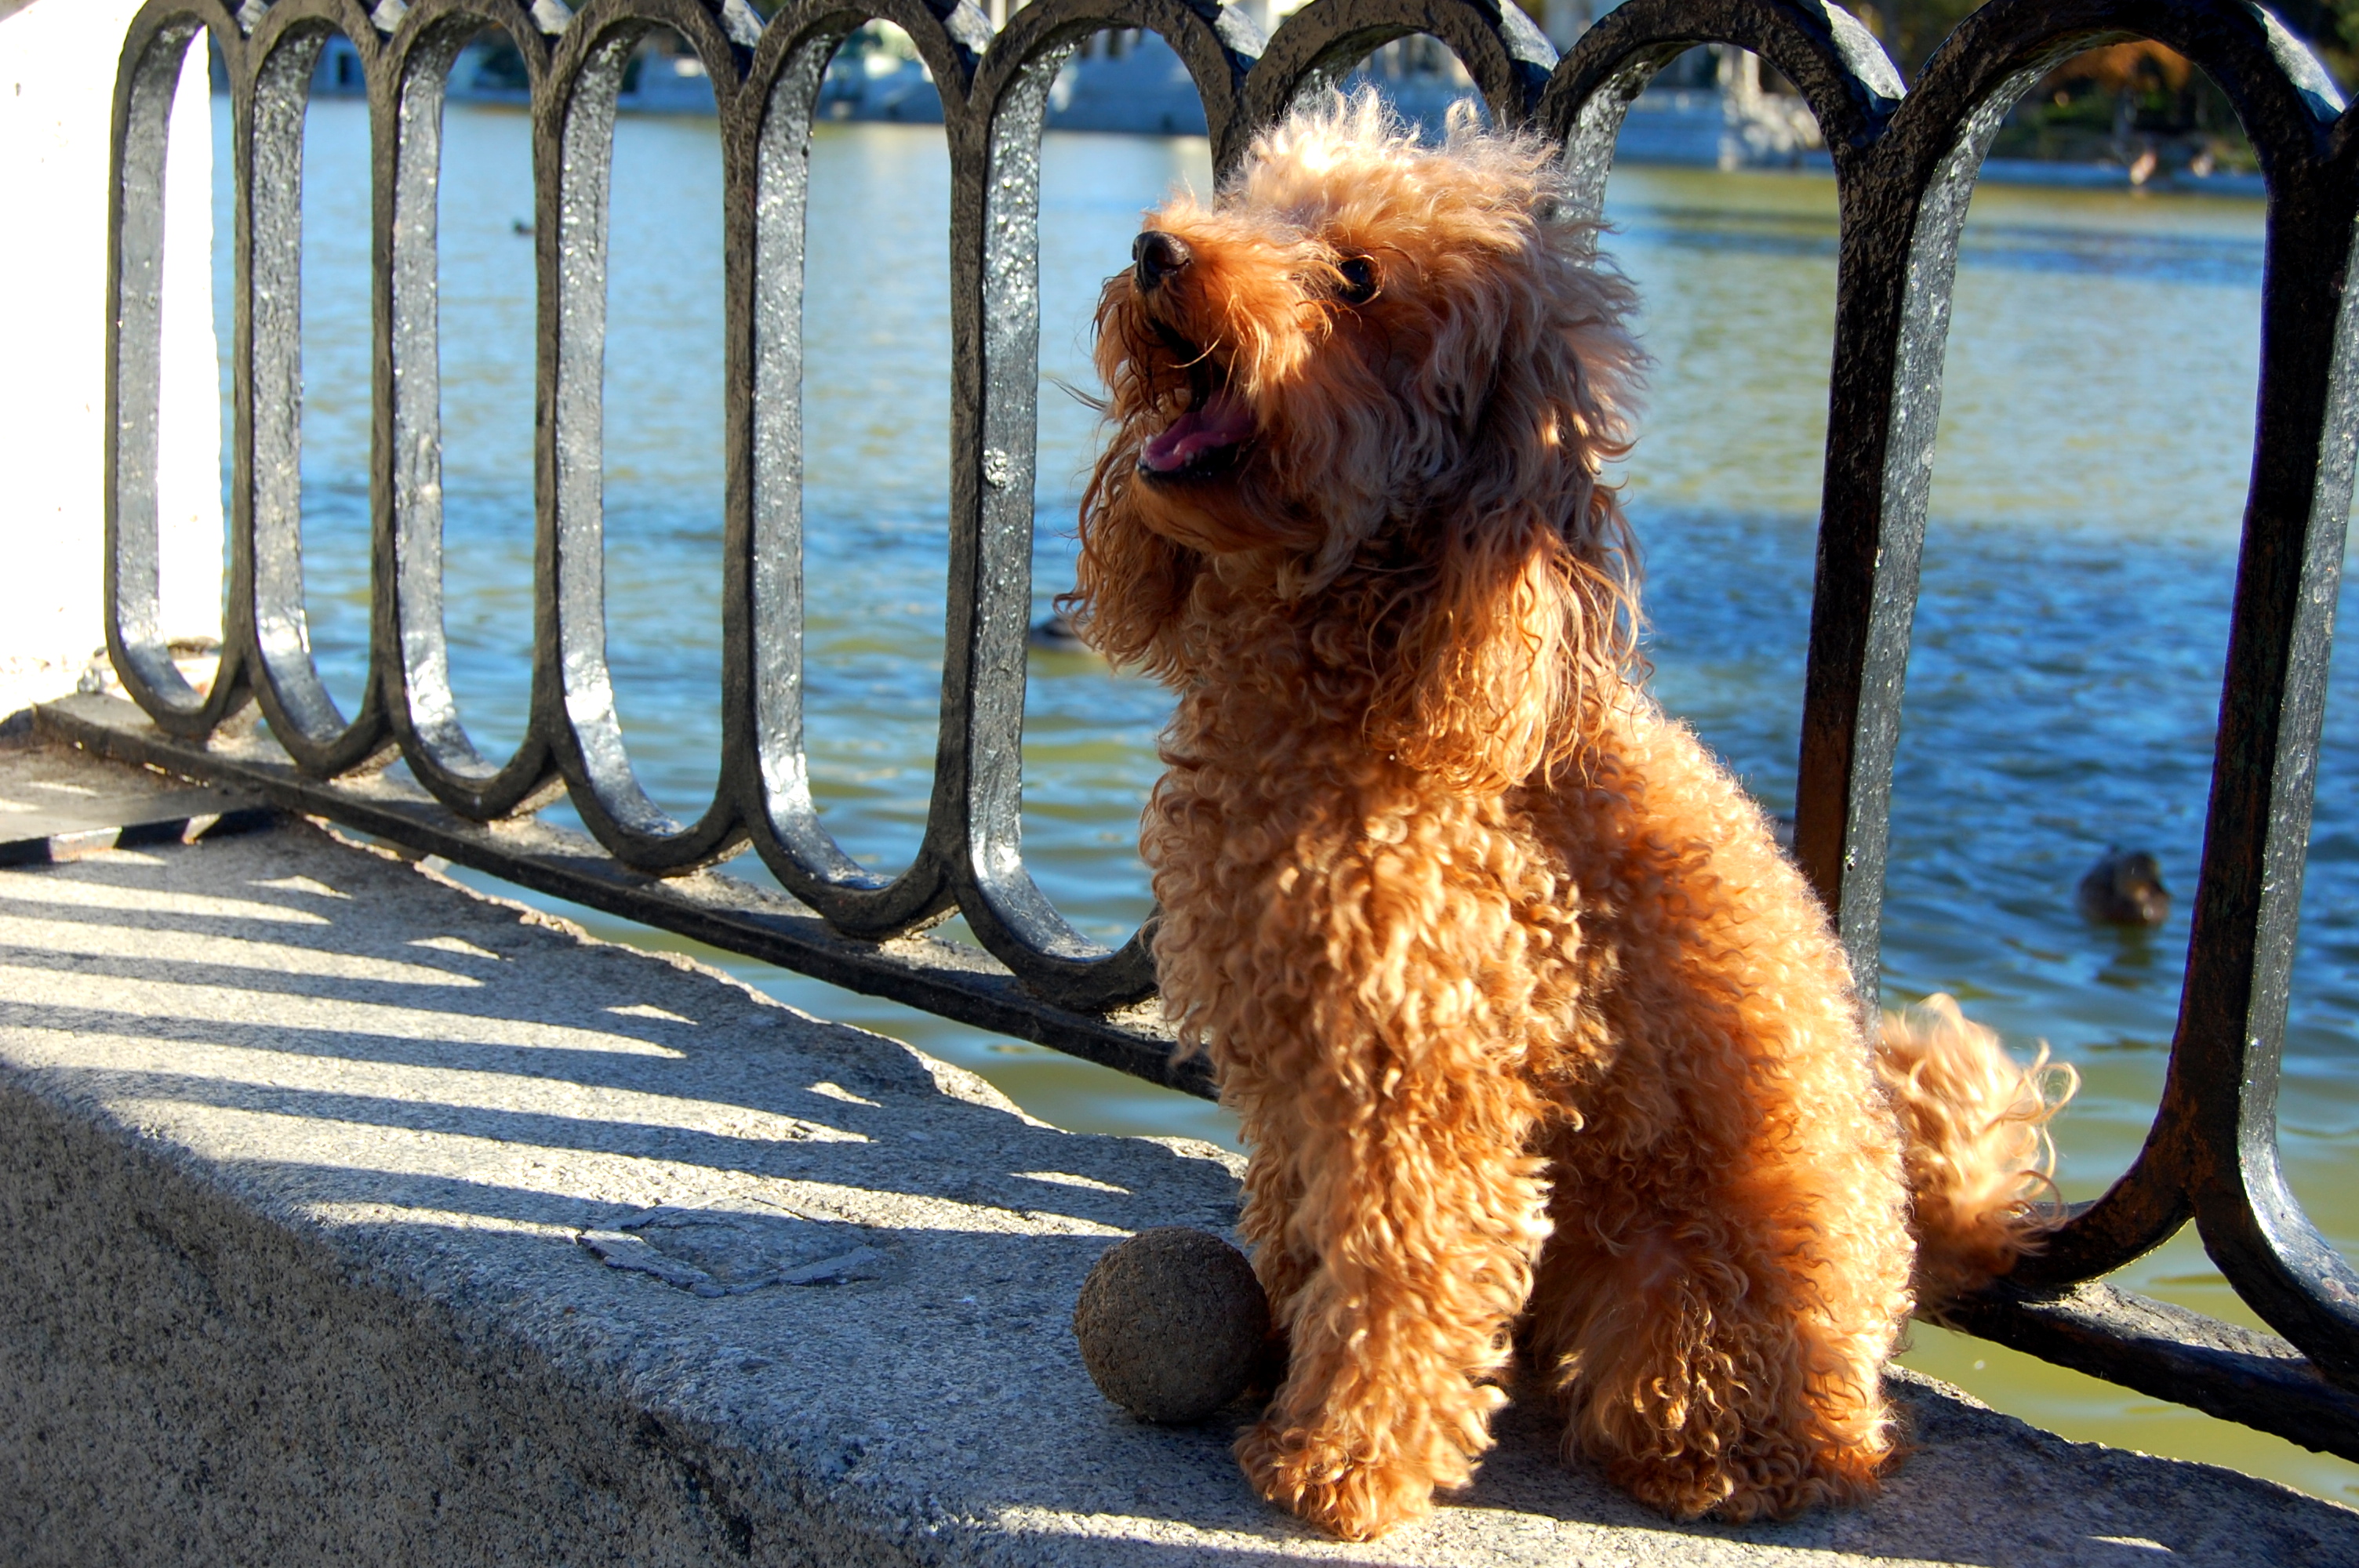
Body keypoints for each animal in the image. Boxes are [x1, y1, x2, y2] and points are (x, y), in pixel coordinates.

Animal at [1066, 93, 2070, 1540]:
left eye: (1357, 278)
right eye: (1265, 208)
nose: (1155, 246)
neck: (1367, 676)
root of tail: (1896, 1285)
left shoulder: (1428, 1087)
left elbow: (1401, 1279)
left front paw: (1346, 1462)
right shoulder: (1300, 1072)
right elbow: (1306, 1235)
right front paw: (1285, 1356)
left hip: (1685, 1300)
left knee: (1771, 1440)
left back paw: (1713, 1464)